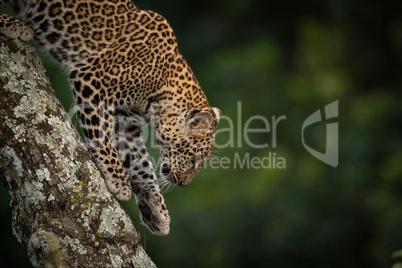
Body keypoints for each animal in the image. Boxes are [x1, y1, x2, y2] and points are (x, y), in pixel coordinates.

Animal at [0, 0, 220, 234]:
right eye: (194, 158)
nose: (184, 184)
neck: (161, 86)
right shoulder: (91, 80)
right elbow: (100, 133)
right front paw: (118, 180)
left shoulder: (125, 122)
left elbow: (140, 163)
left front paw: (155, 208)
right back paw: (15, 25)